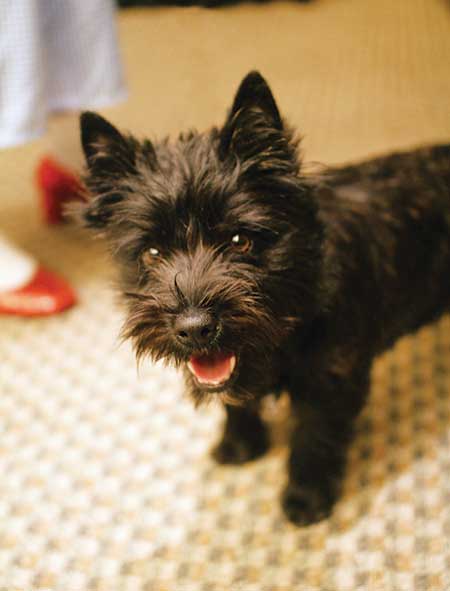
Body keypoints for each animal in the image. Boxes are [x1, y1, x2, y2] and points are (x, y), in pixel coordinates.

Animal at [77, 71, 450, 524]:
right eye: (152, 252)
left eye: (240, 240)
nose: (195, 329)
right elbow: (235, 402)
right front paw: (239, 447)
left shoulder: (331, 380)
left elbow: (314, 438)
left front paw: (305, 501)